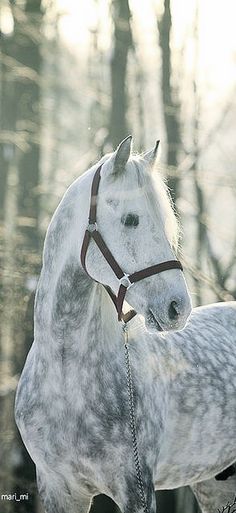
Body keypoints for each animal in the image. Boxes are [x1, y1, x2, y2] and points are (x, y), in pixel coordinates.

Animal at [14, 136, 236, 512]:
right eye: (131, 219)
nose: (178, 308)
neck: (65, 378)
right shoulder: (58, 489)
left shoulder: (136, 489)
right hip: (214, 484)